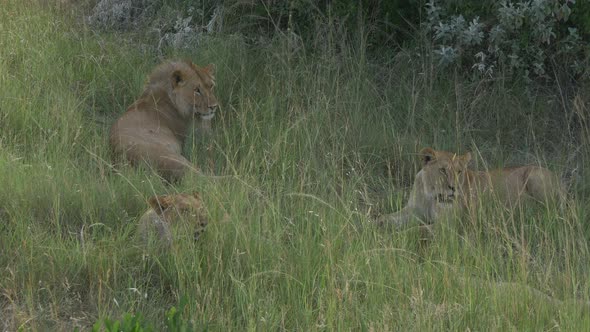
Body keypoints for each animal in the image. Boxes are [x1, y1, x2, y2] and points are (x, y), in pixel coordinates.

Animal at [380, 147, 568, 230]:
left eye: (459, 171)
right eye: (443, 170)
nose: (453, 188)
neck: (430, 195)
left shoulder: (446, 224)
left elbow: (417, 229)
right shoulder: (412, 211)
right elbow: (387, 217)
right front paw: (373, 225)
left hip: (535, 175)